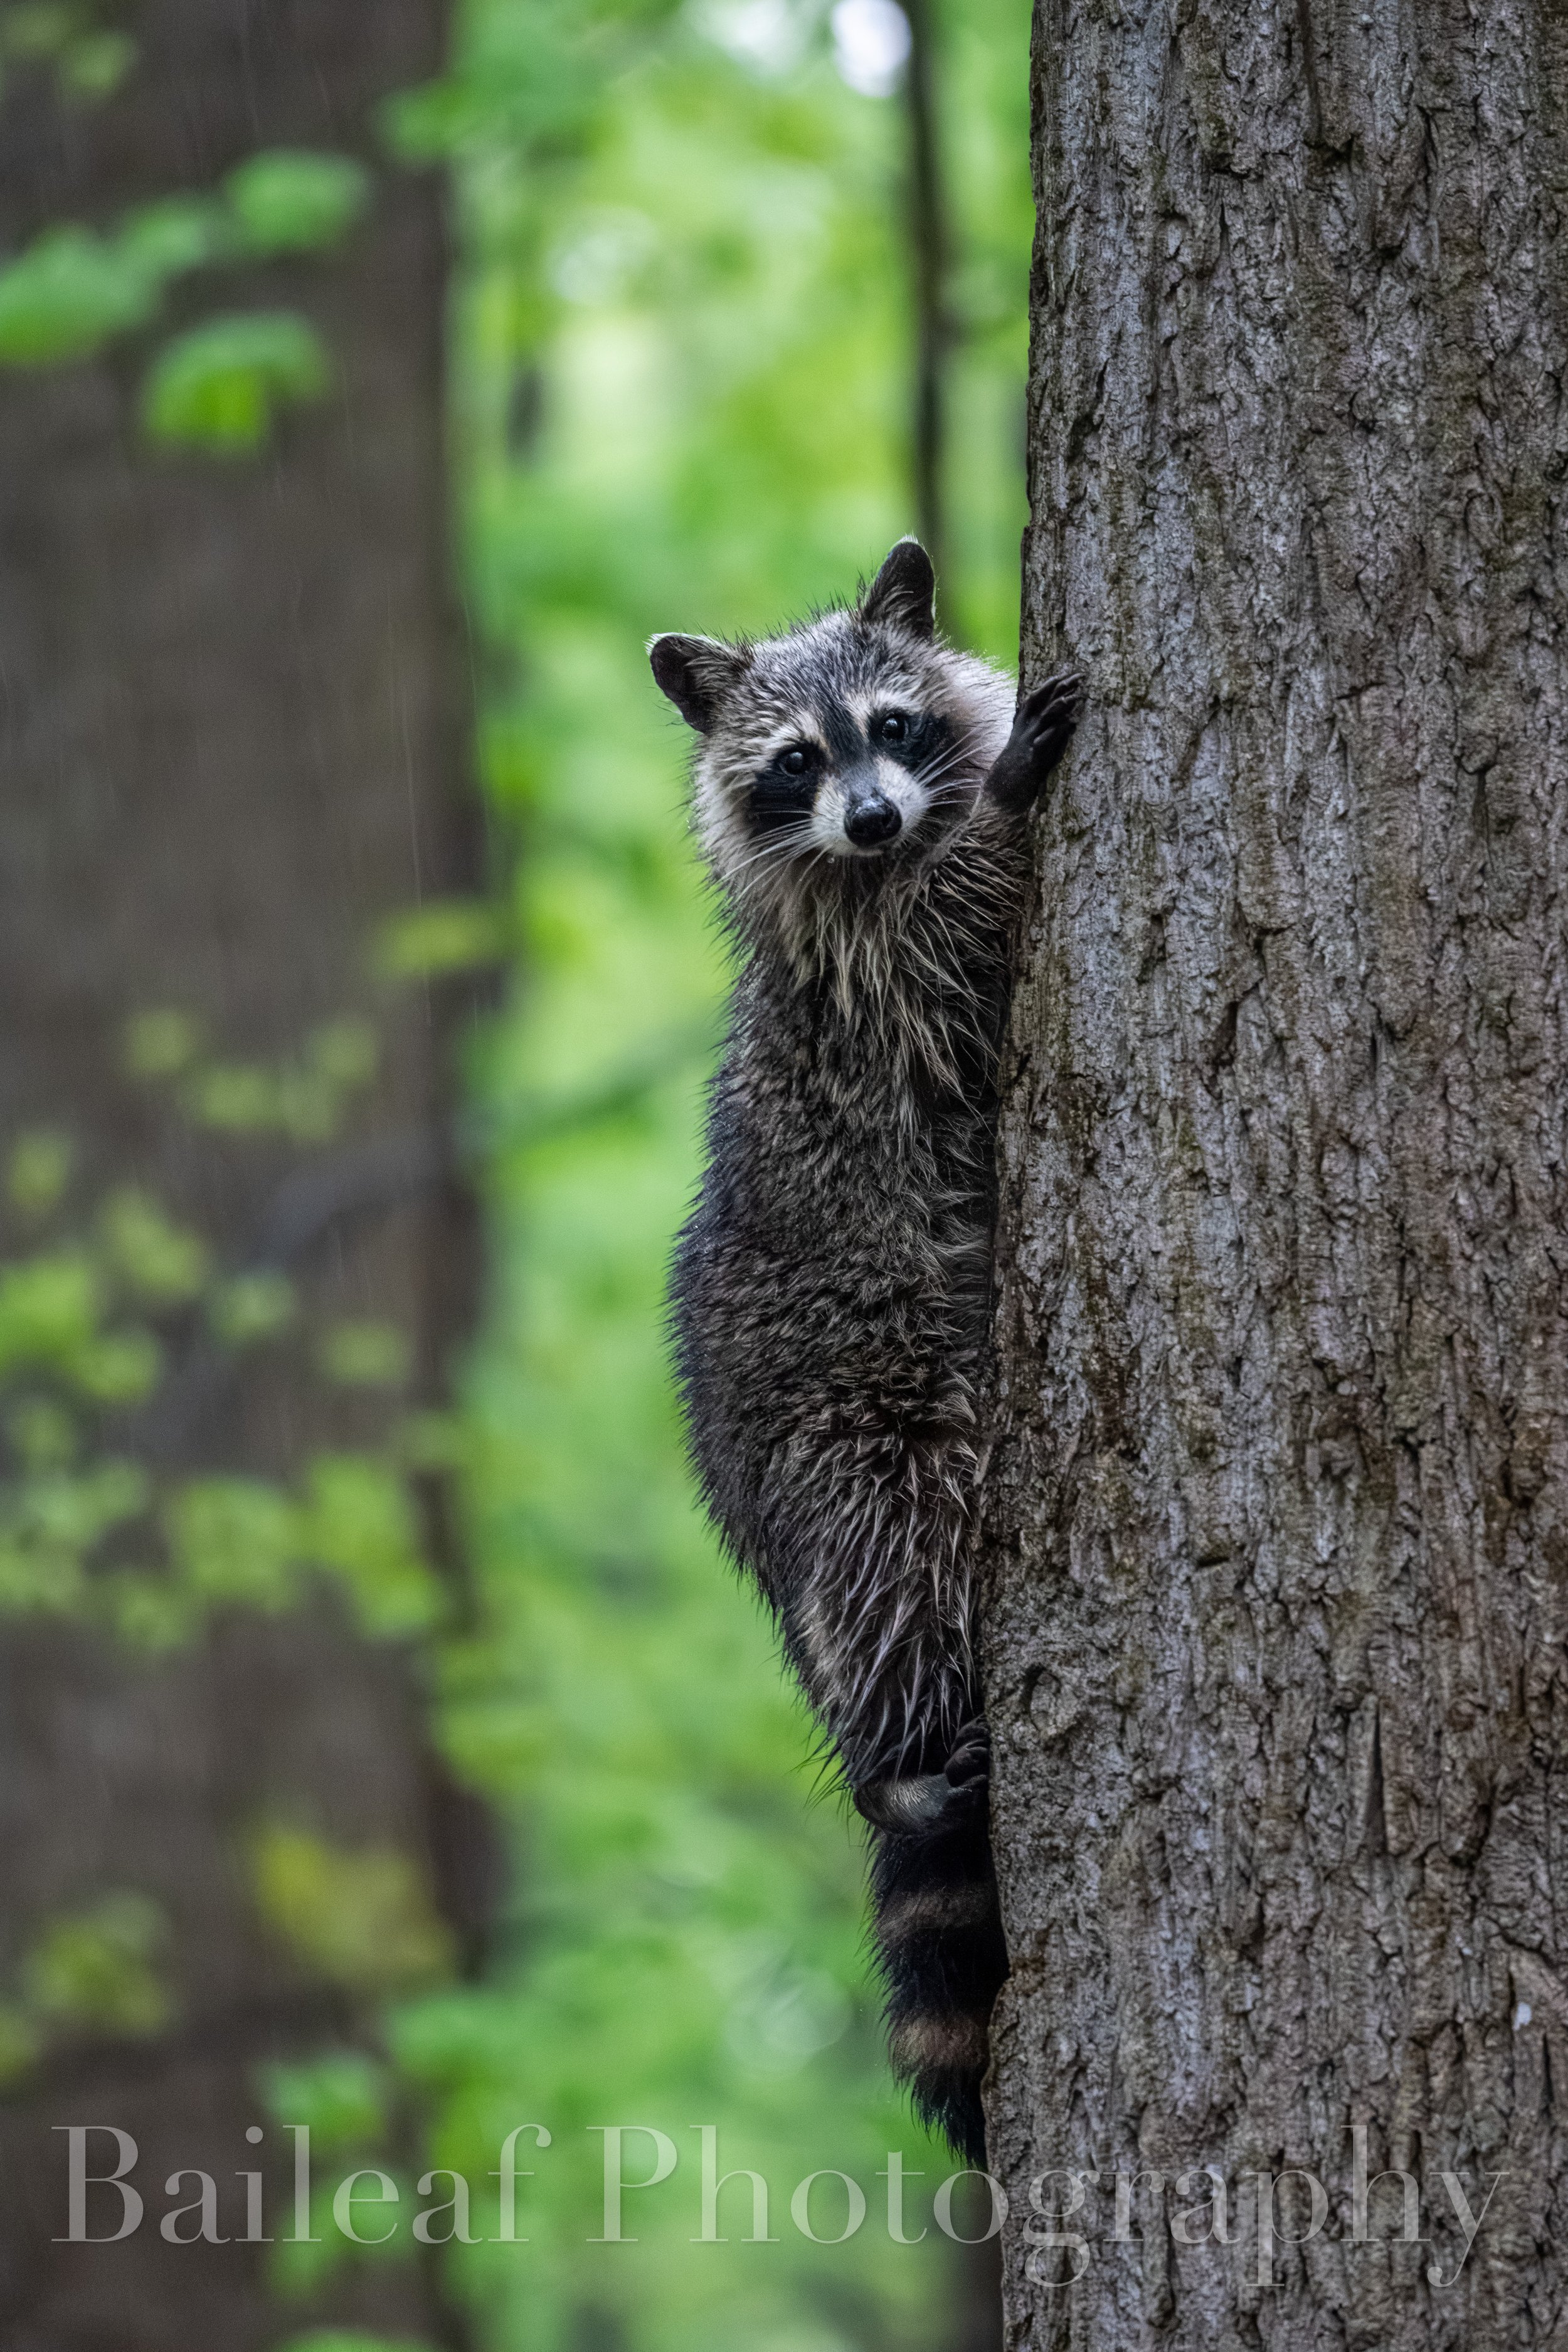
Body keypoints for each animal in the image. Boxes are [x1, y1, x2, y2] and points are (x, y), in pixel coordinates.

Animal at [652, 539, 1080, 2165]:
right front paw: (1010, 793)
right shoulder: (864, 983)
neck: (873, 858)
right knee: (910, 1558)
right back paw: (904, 1772)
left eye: (891, 726)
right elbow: (948, 944)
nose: (879, 814)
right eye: (795, 761)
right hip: (853, 1442)